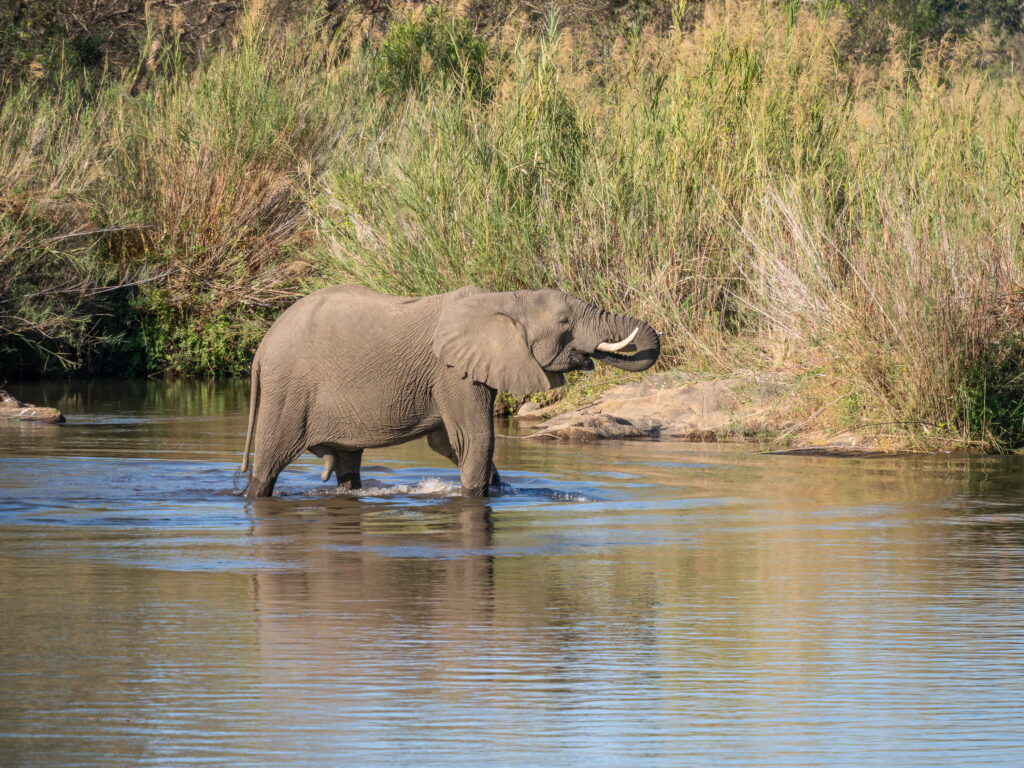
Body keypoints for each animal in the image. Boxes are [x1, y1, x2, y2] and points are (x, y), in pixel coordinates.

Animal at [239, 285, 660, 497]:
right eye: (563, 322)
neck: (503, 299)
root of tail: (262, 347)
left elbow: (451, 444)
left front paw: (499, 487)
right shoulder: (451, 372)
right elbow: (475, 439)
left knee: (347, 466)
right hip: (288, 391)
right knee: (269, 464)